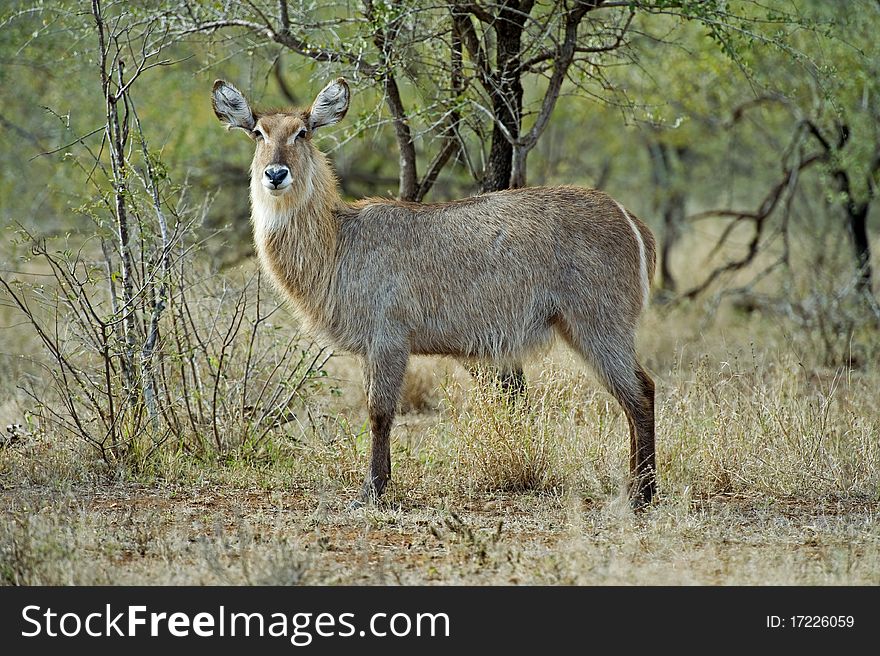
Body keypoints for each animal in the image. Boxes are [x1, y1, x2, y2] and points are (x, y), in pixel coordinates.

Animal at [210, 78, 656, 508]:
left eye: (301, 132)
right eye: (258, 132)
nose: (275, 174)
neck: (337, 240)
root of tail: (628, 216)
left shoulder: (388, 339)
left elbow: (379, 413)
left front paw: (371, 491)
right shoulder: (373, 347)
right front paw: (378, 485)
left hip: (599, 325)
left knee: (641, 394)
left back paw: (643, 494)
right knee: (635, 396)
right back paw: (635, 488)